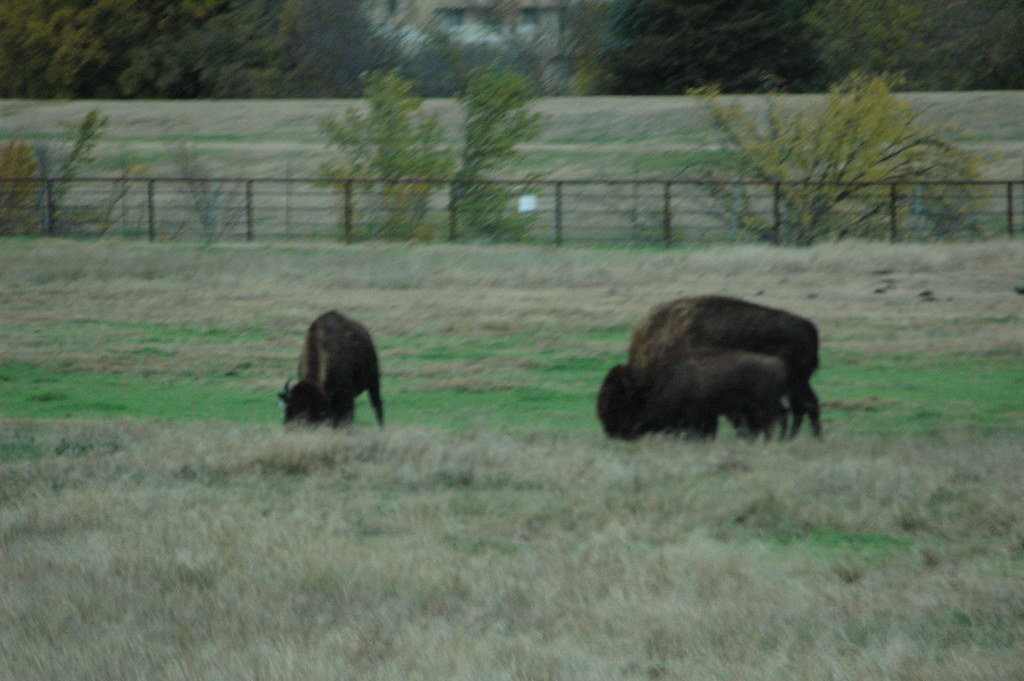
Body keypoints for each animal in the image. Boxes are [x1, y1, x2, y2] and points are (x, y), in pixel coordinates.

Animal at [598, 348, 788, 440]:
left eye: (619, 403)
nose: (610, 431)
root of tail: (778, 364)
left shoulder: (695, 416)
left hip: (763, 407)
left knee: (770, 424)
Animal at [627, 295, 821, 437]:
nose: (634, 430)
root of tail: (808, 327)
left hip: (796, 383)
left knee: (803, 406)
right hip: (799, 383)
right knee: (804, 406)